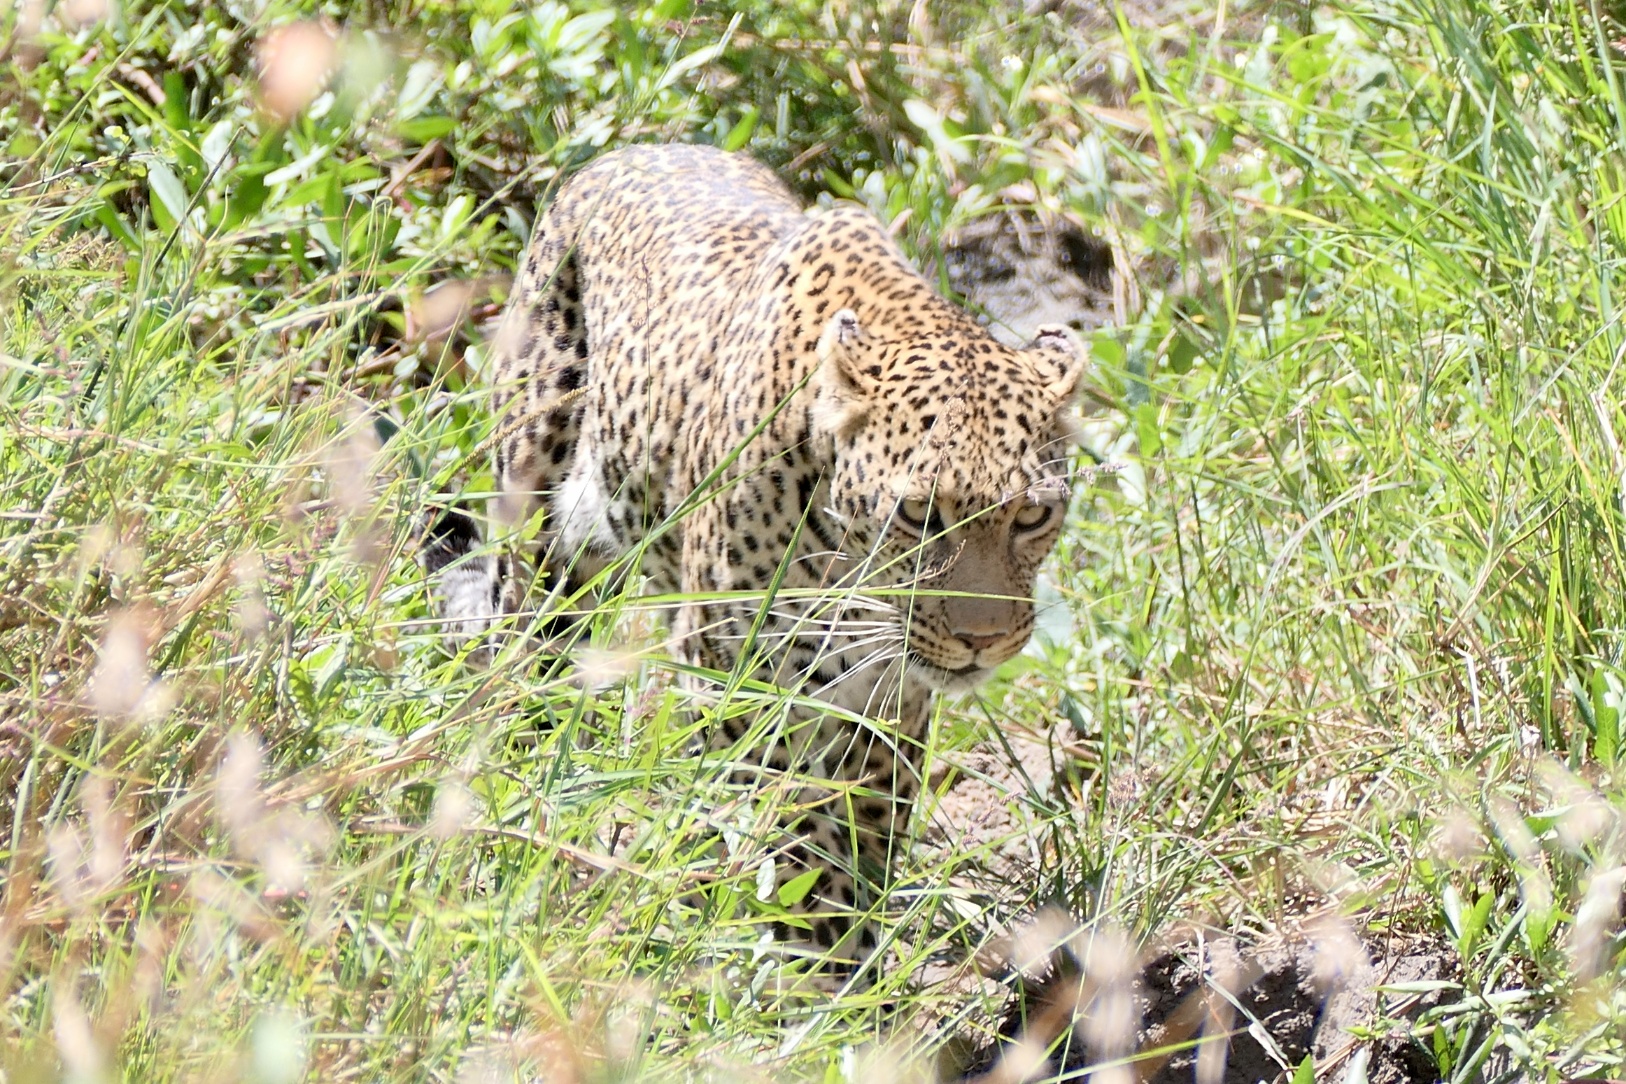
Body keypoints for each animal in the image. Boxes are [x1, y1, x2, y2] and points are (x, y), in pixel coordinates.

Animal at [426, 139, 1092, 981]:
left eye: (1032, 515)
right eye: (918, 515)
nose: (983, 641)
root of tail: (630, 149)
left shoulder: (885, 702)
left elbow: (855, 836)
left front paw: (842, 967)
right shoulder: (732, 679)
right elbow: (776, 823)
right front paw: (786, 956)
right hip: (541, 530)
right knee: (526, 658)